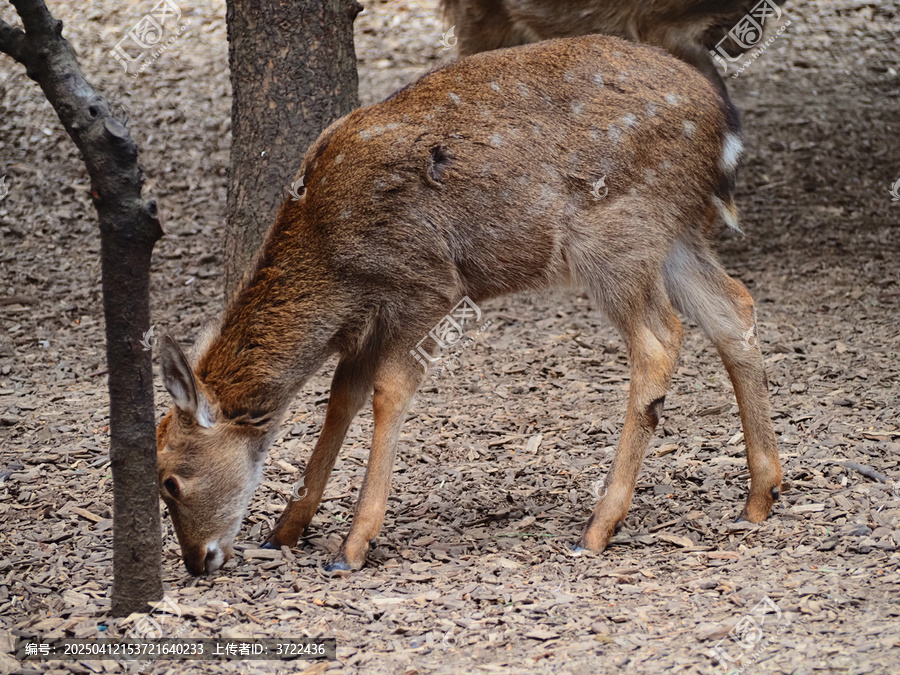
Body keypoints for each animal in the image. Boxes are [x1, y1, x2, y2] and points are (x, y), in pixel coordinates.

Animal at [156, 33, 783, 576]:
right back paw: (761, 496)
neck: (331, 264)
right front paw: (286, 529)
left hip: (616, 233)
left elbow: (387, 391)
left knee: (660, 338)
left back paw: (597, 528)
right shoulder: (371, 317)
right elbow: (341, 395)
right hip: (672, 233)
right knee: (734, 307)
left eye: (169, 479)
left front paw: (352, 547)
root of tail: (724, 130)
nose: (197, 561)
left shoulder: (426, 286)